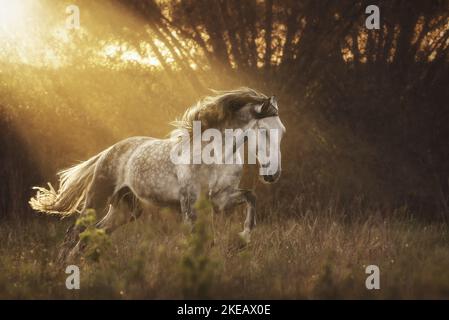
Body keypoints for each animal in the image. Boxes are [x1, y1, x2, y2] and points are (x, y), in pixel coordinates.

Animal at [29, 87, 286, 260]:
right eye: (264, 131)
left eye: (282, 131)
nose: (273, 175)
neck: (216, 155)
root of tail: (108, 151)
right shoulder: (191, 204)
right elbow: (199, 239)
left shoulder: (221, 199)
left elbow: (251, 197)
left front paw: (243, 238)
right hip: (97, 199)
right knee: (74, 233)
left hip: (127, 210)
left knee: (94, 232)